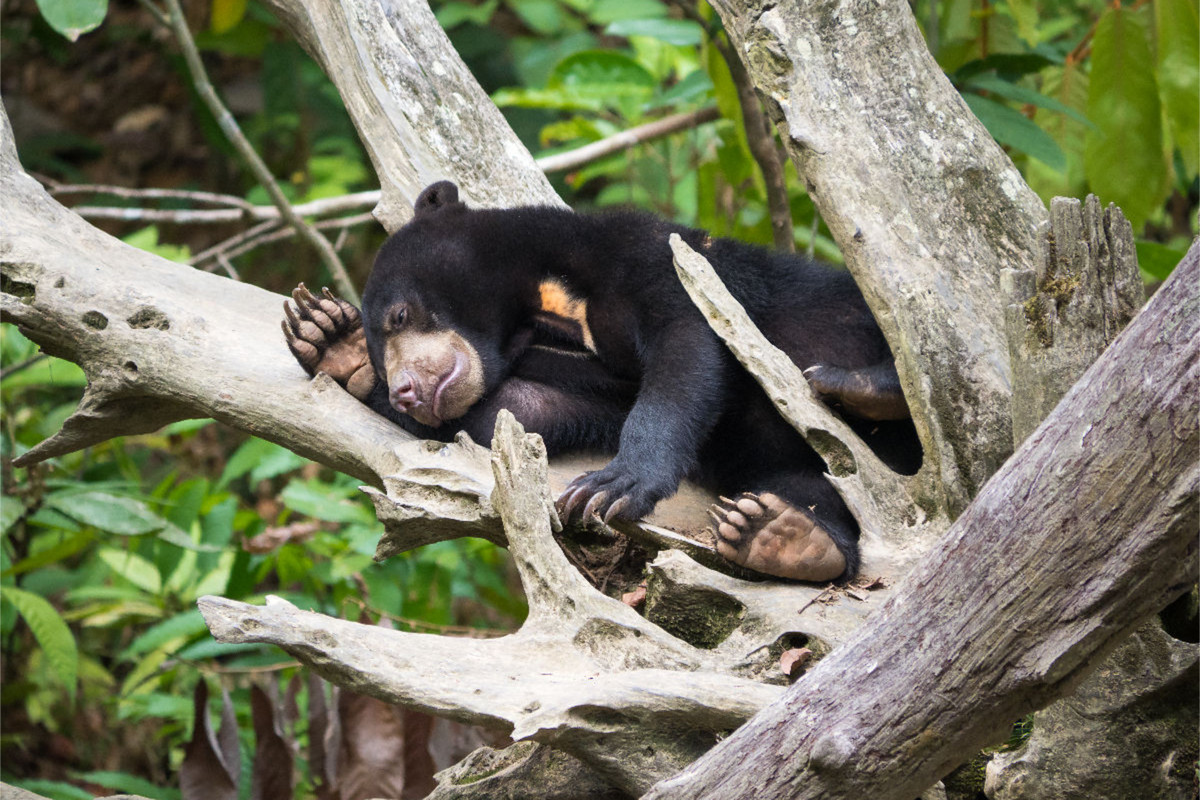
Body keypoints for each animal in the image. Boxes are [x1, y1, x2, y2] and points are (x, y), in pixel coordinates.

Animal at [280, 181, 916, 582]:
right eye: (384, 355)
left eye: (400, 315)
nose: (406, 389)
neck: (546, 312)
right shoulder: (576, 378)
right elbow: (520, 413)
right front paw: (332, 341)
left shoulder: (658, 259)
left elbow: (687, 347)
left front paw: (614, 485)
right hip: (794, 469)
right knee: (809, 490)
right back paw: (780, 536)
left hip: (851, 313)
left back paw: (860, 388)